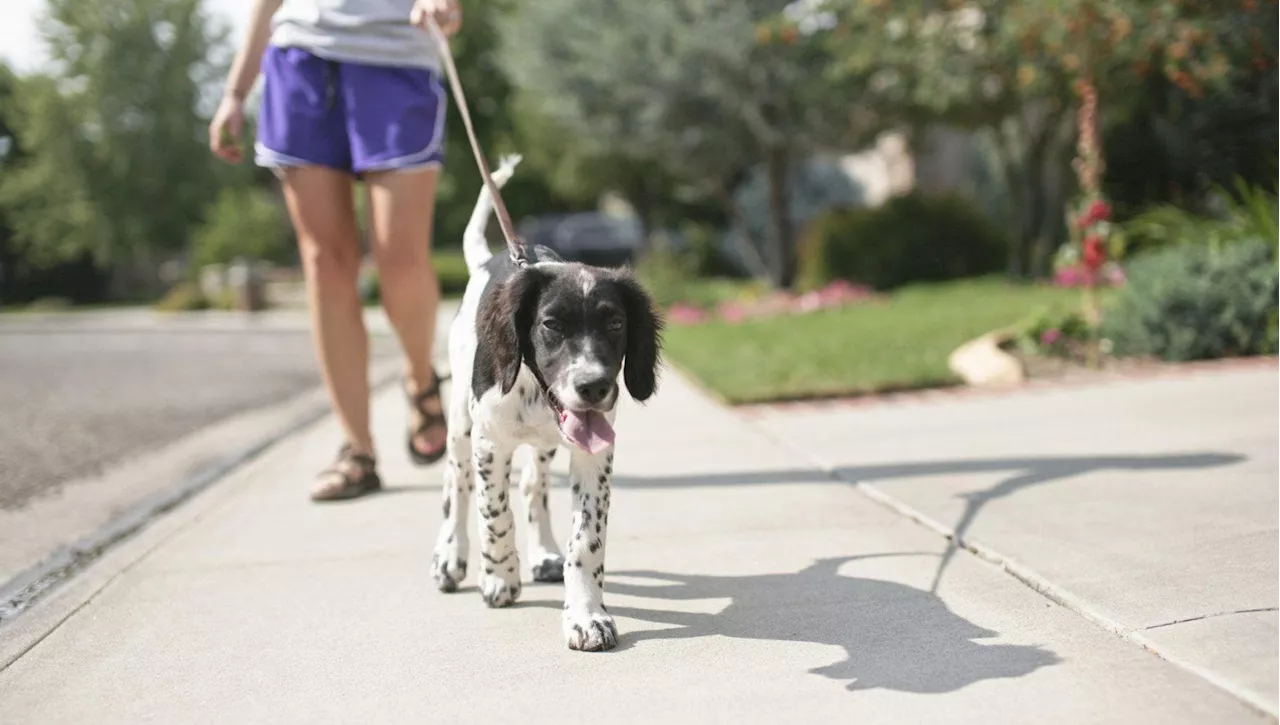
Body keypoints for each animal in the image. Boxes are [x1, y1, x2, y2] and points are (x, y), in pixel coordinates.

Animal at [435, 154, 665, 653]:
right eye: (552, 324)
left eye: (616, 324)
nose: (594, 386)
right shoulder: (490, 444)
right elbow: (493, 513)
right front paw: (499, 577)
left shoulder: (594, 453)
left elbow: (587, 540)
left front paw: (586, 615)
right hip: (461, 425)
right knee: (456, 484)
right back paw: (450, 558)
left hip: (544, 445)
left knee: (532, 486)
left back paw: (541, 554)